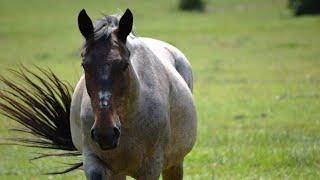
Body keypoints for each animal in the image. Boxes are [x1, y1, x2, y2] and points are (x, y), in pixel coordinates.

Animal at [0, 8, 196, 179]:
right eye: (84, 65)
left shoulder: (150, 168)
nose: (105, 133)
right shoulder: (95, 163)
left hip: (174, 163)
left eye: (125, 65)